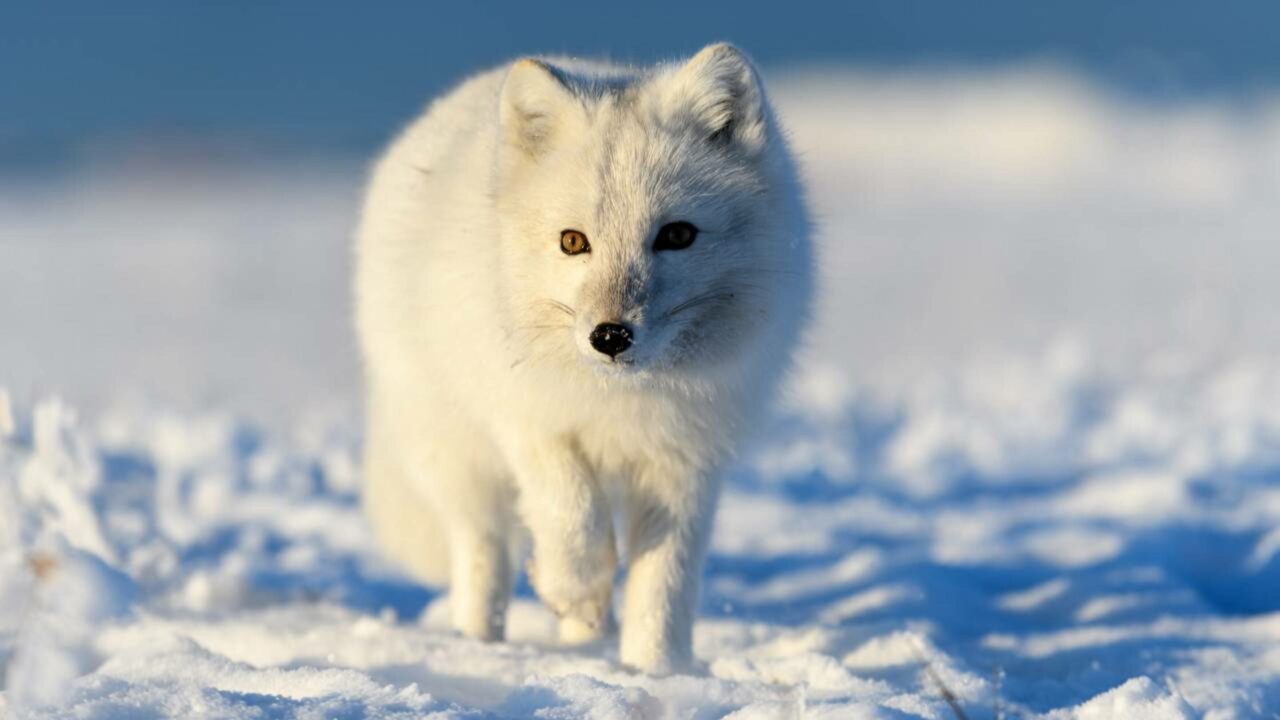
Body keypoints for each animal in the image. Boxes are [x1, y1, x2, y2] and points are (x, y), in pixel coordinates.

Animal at [355, 43, 812, 673]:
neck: (621, 403)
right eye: (573, 242)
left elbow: (663, 582)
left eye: (677, 235)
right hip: (457, 452)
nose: (610, 336)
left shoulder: (686, 460)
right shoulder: (529, 424)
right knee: (483, 551)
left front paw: (655, 670)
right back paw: (480, 645)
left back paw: (583, 644)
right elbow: (571, 518)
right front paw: (573, 589)